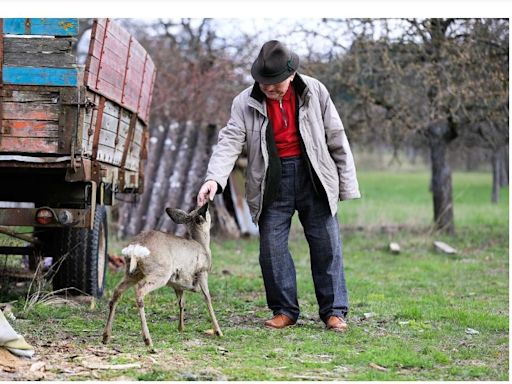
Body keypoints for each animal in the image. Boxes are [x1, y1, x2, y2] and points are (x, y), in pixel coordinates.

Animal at [103, 202, 223, 350]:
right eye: (207, 213)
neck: (202, 246)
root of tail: (136, 247)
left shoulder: (178, 284)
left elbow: (181, 302)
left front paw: (181, 328)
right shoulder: (202, 271)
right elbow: (207, 298)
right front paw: (218, 331)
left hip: (132, 272)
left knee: (116, 292)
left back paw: (106, 337)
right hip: (160, 272)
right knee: (140, 290)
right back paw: (148, 340)